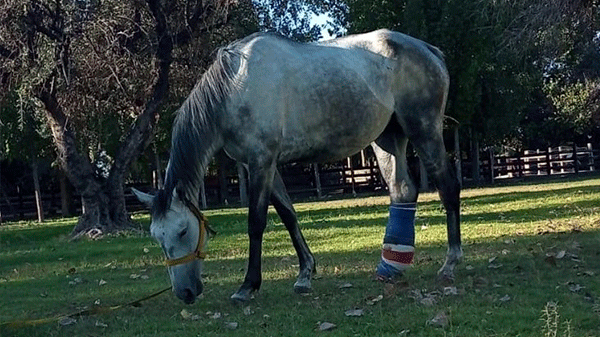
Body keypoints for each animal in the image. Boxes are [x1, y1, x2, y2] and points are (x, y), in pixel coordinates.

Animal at [135, 28, 460, 302]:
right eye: (156, 237)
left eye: (182, 231)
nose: (185, 293)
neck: (236, 86)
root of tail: (428, 50)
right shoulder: (263, 165)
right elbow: (289, 216)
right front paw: (305, 274)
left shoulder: (262, 161)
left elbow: (256, 223)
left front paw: (248, 286)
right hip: (388, 138)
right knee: (402, 191)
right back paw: (390, 268)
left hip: (424, 130)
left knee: (448, 188)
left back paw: (450, 263)